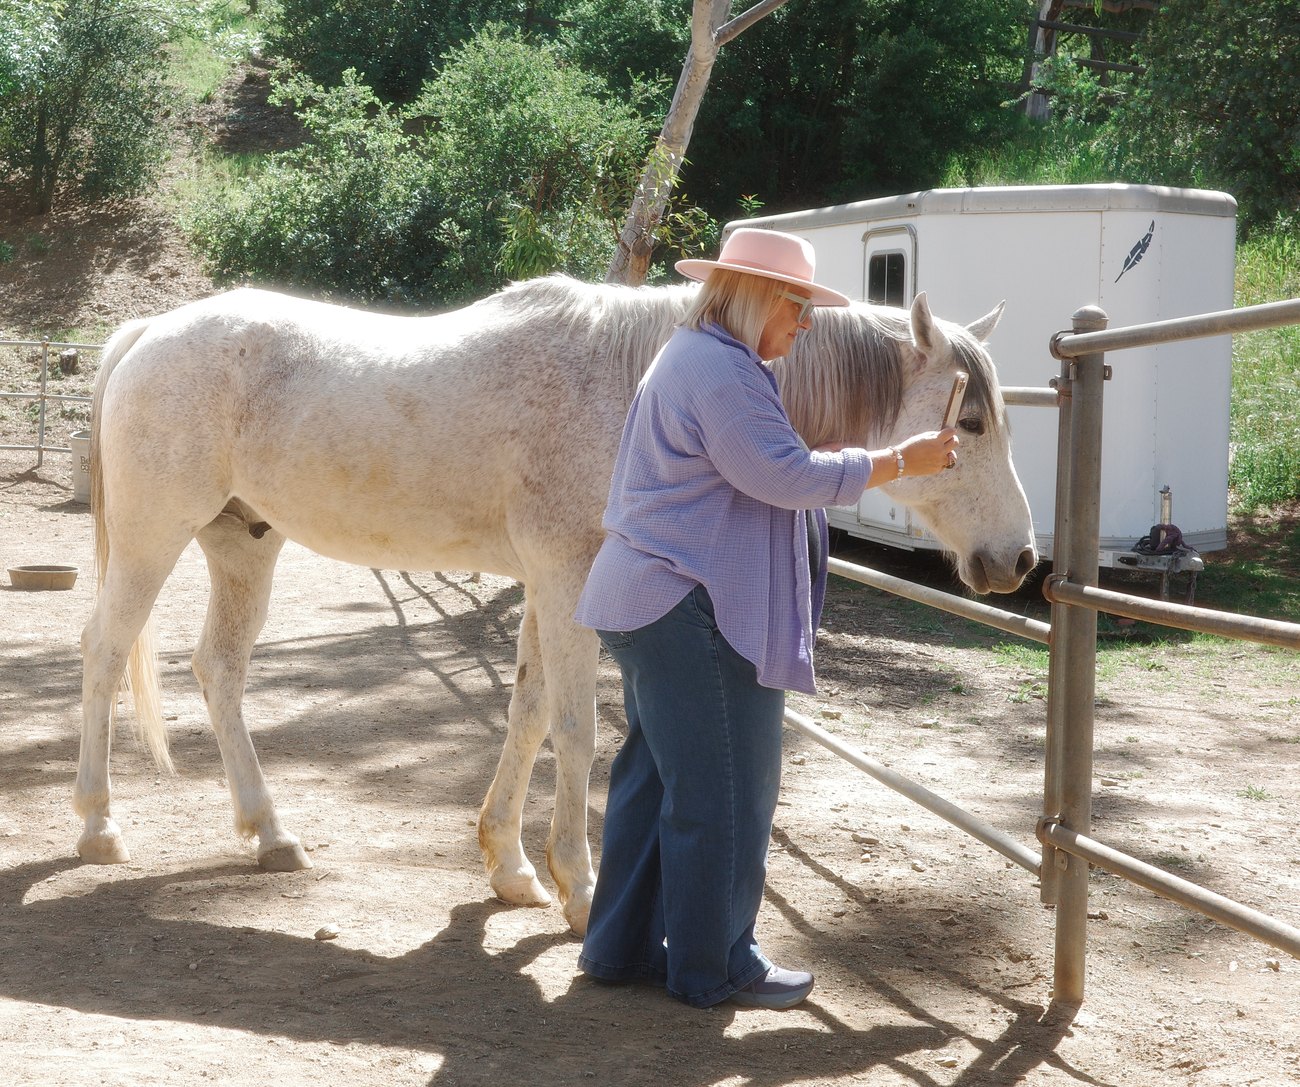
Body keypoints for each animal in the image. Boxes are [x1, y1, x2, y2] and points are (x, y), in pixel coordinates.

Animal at [74, 274, 1036, 936]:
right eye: (971, 422)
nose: (1018, 558)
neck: (633, 384)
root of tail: (147, 334)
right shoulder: (570, 579)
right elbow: (576, 727)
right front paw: (577, 886)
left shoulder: (545, 584)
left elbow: (528, 711)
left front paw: (509, 866)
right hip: (155, 537)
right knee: (106, 653)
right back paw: (98, 826)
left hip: (244, 545)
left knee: (219, 670)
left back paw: (271, 833)